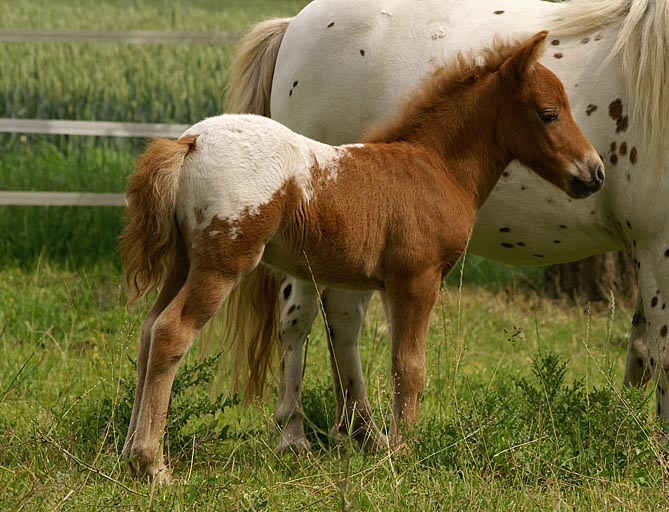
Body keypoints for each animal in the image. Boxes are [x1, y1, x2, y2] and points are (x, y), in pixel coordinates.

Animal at [121, 32, 604, 480]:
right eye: (549, 112)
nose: (595, 172)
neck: (435, 167)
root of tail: (189, 143)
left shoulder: (381, 284)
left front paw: (378, 442)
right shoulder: (416, 279)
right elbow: (409, 366)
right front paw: (403, 453)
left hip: (184, 263)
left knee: (148, 330)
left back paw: (127, 451)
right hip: (222, 264)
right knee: (171, 331)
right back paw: (152, 464)